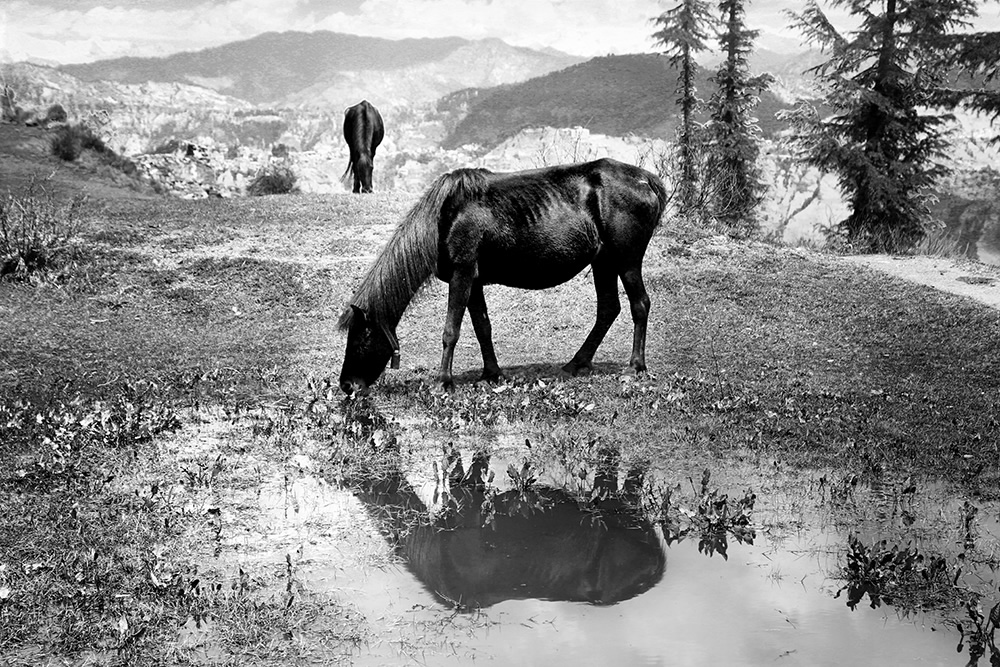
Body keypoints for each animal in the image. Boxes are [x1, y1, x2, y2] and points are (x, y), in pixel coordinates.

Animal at [340, 159, 668, 394]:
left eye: (359, 338)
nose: (347, 386)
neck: (447, 216)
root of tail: (645, 180)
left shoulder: (462, 274)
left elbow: (451, 330)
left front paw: (442, 381)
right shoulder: (473, 282)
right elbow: (482, 327)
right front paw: (491, 374)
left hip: (627, 260)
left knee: (639, 304)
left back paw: (634, 367)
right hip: (603, 262)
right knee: (608, 309)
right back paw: (577, 363)